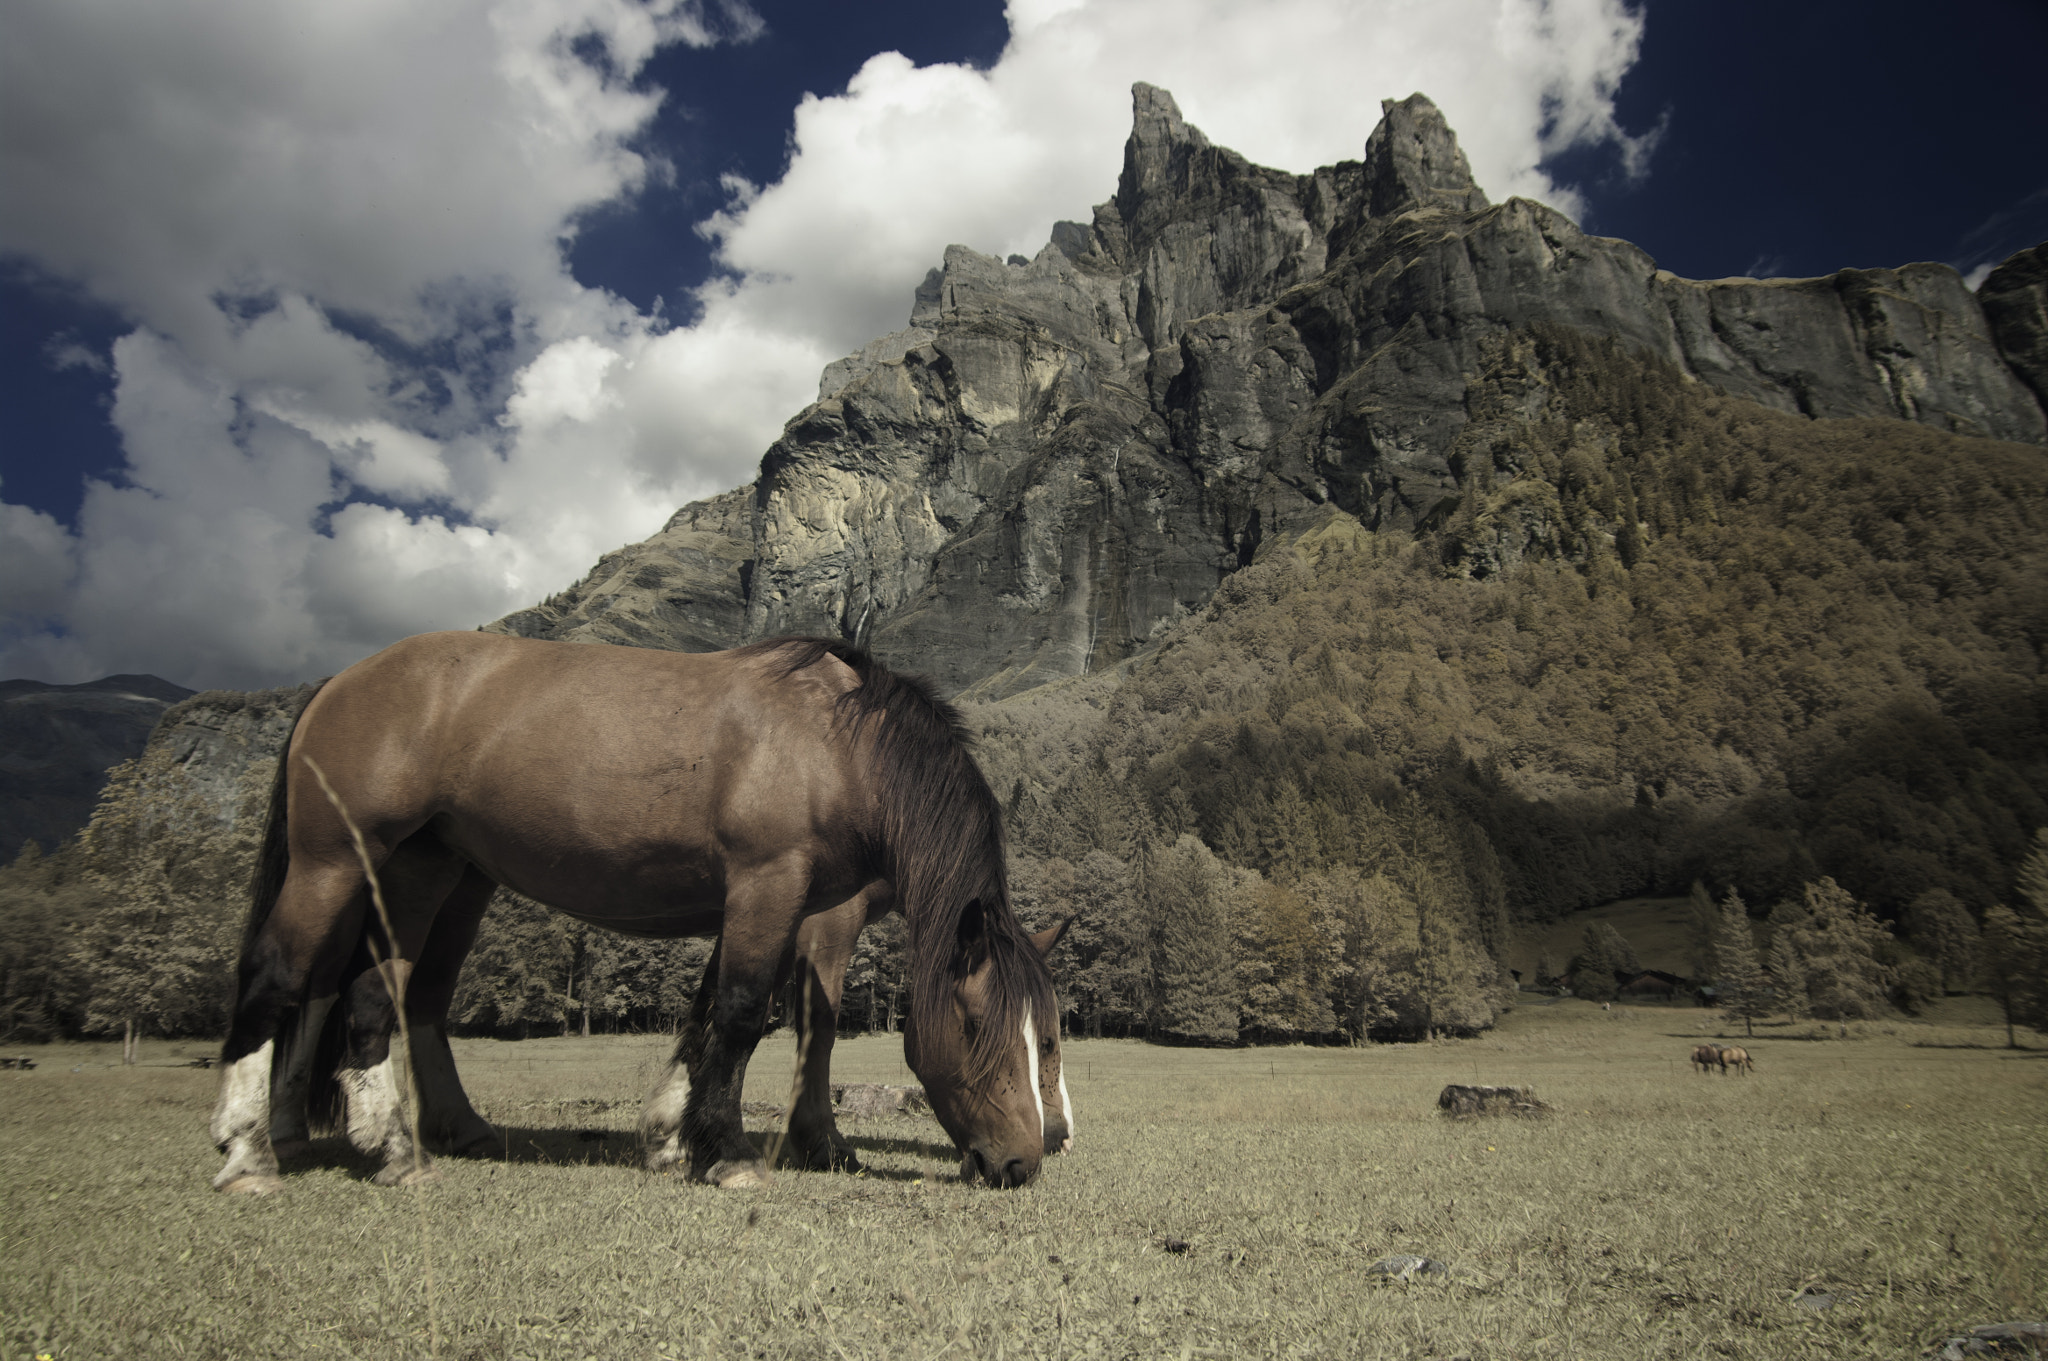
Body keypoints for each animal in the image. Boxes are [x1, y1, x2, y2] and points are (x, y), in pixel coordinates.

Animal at [209, 632, 1068, 1194]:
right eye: (975, 1026)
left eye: (1048, 1038)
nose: (1025, 1158)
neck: (835, 743)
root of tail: (341, 678)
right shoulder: (772, 888)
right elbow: (750, 1014)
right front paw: (731, 1154)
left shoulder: (757, 900)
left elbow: (706, 1017)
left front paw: (669, 1139)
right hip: (332, 865)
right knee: (279, 975)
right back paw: (250, 1150)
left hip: (423, 871)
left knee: (376, 994)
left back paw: (394, 1147)